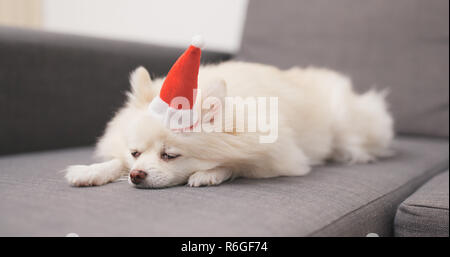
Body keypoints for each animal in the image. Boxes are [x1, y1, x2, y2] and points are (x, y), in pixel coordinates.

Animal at [64, 60, 394, 188]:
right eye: (135, 154)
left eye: (169, 155)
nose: (137, 175)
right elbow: (114, 162)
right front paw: (92, 171)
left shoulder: (280, 156)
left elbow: (239, 164)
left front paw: (210, 174)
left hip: (348, 126)